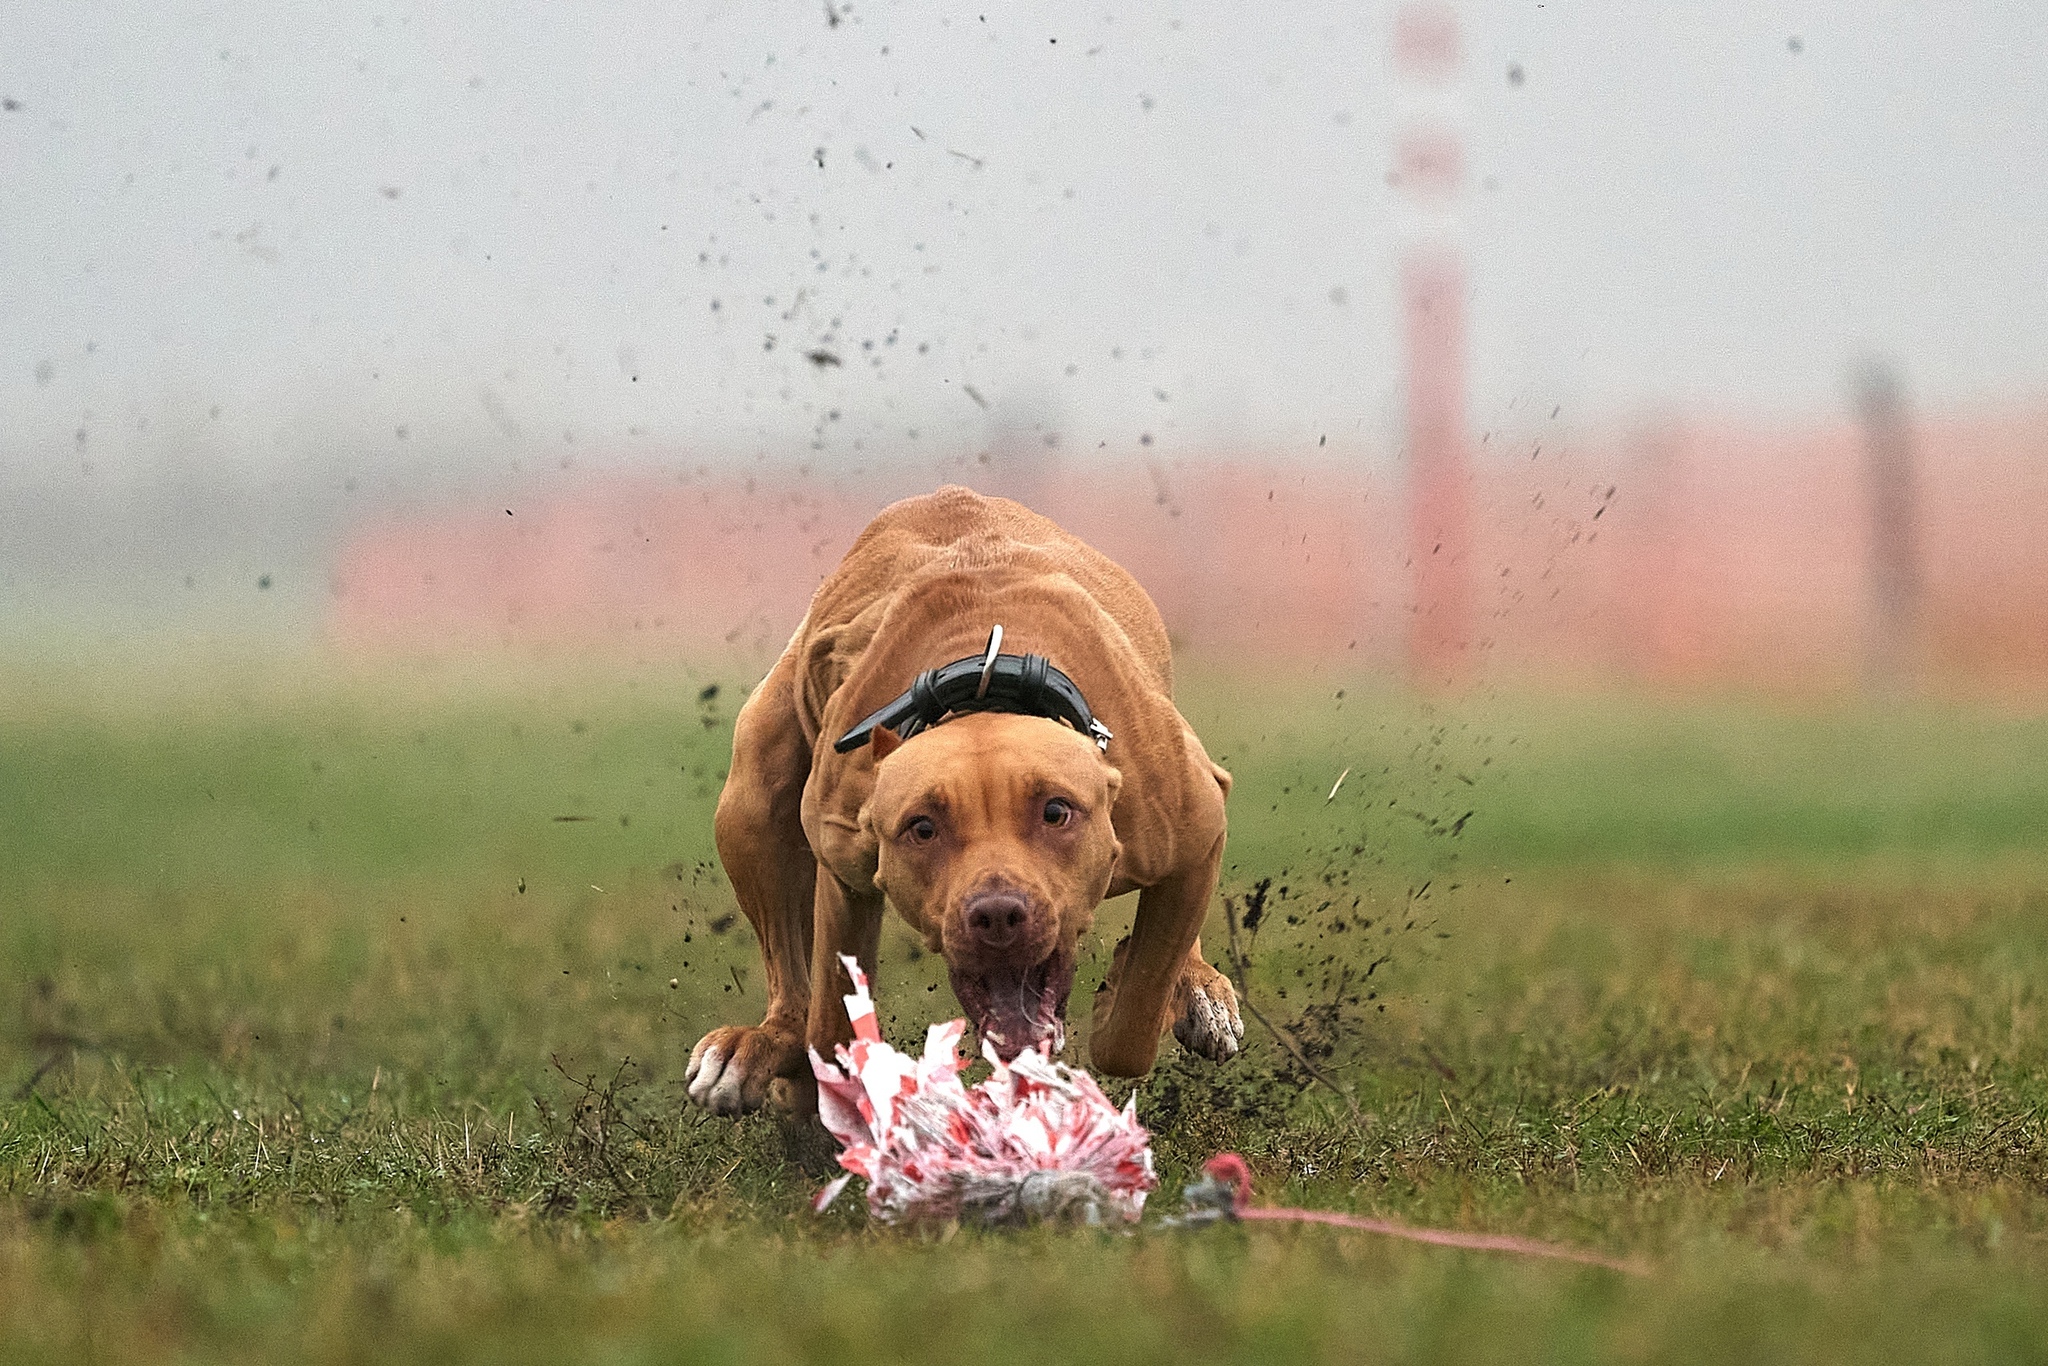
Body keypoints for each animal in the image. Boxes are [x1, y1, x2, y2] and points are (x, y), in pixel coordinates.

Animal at [688, 485, 1236, 1114]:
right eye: (922, 828)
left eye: (1056, 812)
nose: (997, 914)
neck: (988, 684)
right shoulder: (844, 871)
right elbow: (829, 1022)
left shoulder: (1193, 825)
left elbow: (1134, 1023)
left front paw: (1127, 988)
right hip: (752, 796)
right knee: (788, 973)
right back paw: (761, 1047)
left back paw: (1197, 989)